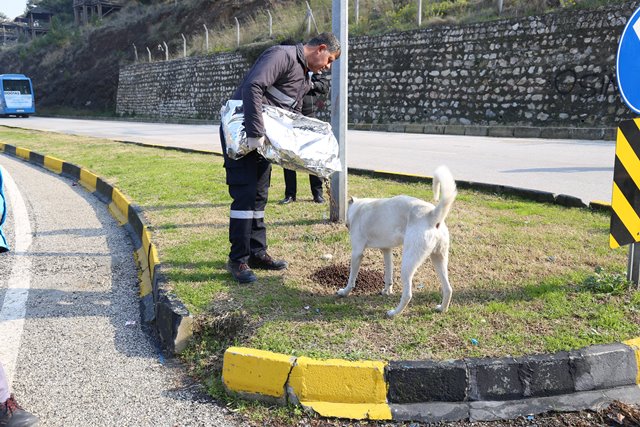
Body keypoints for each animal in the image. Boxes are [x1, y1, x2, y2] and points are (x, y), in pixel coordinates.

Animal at [338, 166, 458, 318]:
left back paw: (394, 313)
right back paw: (442, 308)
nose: (346, 225)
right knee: (448, 289)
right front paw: (386, 291)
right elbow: (388, 275)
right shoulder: (386, 250)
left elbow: (351, 278)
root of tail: (432, 214)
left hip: (407, 264)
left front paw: (344, 292)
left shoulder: (357, 253)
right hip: (438, 258)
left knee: (407, 295)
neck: (359, 208)